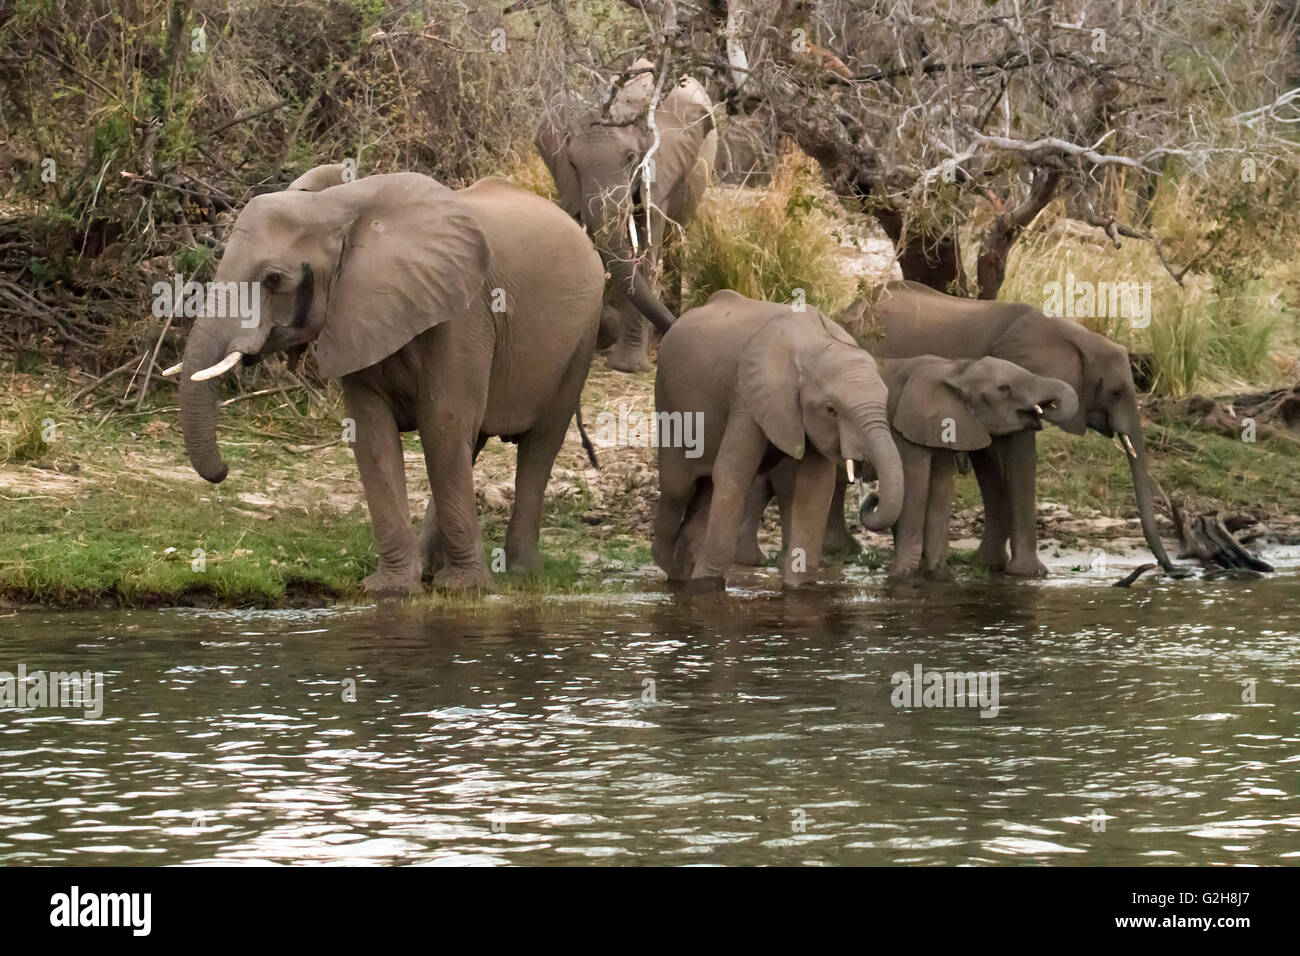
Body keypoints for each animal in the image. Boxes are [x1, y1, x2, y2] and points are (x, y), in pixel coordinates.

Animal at [175, 167, 605, 595]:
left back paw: (519, 573)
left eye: (273, 279)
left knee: (538, 444)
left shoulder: (462, 315)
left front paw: (462, 590)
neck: (338, 207)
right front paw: (391, 590)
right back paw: (431, 565)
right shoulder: (355, 315)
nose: (223, 471)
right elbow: (372, 433)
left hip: (581, 341)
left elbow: (443, 423)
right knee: (473, 443)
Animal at [538, 56, 722, 369]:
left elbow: (647, 244)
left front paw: (628, 367)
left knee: (674, 242)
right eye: (573, 163)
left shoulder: (661, 166)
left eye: (630, 159)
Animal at [655, 291, 909, 590]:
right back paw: (672, 570)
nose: (873, 496)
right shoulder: (748, 393)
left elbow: (815, 486)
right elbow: (733, 473)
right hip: (669, 404)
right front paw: (708, 586)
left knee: (704, 492)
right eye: (831, 410)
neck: (814, 344)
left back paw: (681, 576)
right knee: (677, 490)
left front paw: (799, 588)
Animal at [837, 277, 1185, 574]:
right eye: (1115, 392)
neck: (1070, 332)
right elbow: (1015, 458)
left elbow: (991, 462)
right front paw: (1030, 574)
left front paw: (990, 565)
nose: (1172, 570)